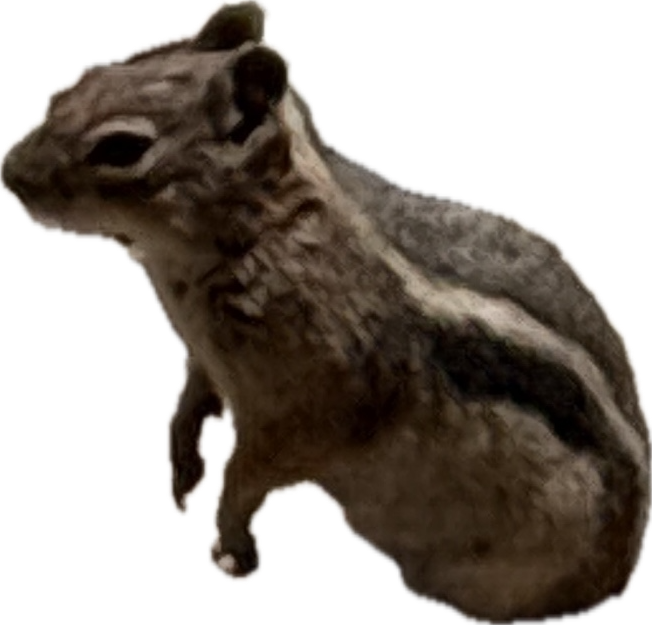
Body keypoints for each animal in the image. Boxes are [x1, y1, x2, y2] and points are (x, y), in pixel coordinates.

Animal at [1, 1, 650, 622]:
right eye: (69, 88)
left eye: (121, 148)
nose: (9, 171)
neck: (269, 227)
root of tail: (620, 570)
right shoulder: (214, 359)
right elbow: (195, 391)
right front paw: (182, 462)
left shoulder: (309, 407)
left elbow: (253, 470)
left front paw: (230, 542)